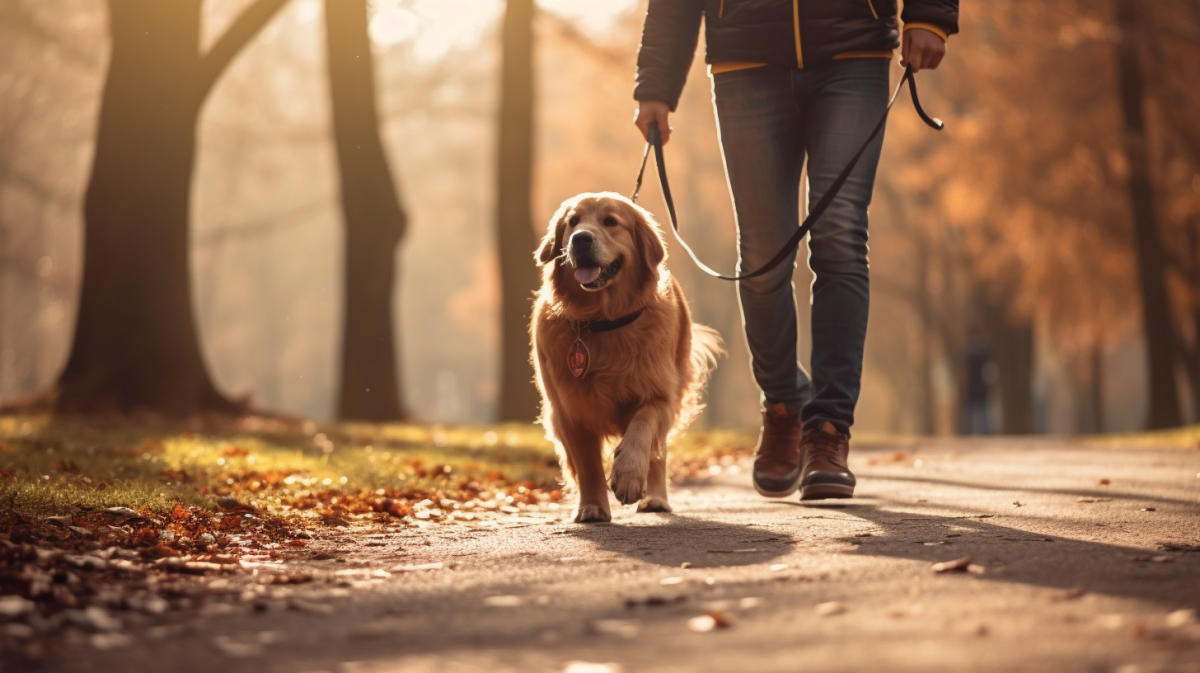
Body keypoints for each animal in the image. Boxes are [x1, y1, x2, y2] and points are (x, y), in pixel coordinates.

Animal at [530, 191, 715, 523]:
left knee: (659, 451)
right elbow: (588, 464)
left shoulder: (660, 395)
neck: (603, 321)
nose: (580, 238)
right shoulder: (569, 409)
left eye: (611, 222)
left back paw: (656, 498)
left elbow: (642, 427)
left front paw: (628, 475)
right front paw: (592, 506)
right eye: (572, 221)